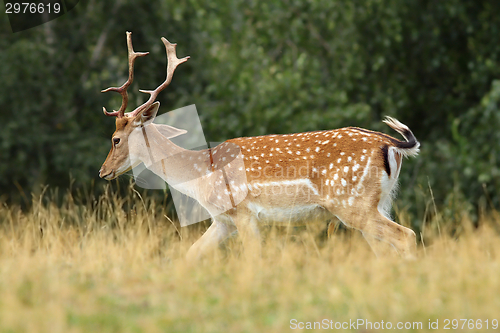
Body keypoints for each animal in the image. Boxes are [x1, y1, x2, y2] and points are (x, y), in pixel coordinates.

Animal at [97, 31, 418, 260]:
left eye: (115, 139)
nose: (102, 171)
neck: (199, 177)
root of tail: (392, 144)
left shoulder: (242, 212)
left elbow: (253, 258)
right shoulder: (222, 220)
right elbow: (190, 255)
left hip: (351, 202)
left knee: (407, 236)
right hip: (380, 201)